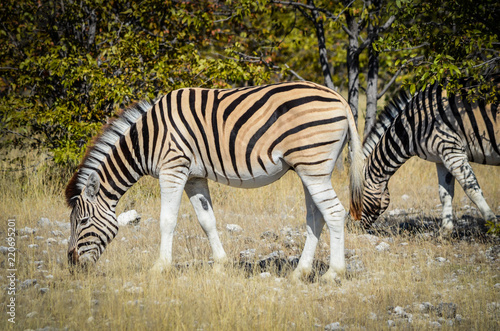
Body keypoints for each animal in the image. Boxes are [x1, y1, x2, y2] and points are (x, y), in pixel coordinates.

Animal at [65, 81, 364, 282]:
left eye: (83, 221)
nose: (72, 264)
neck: (148, 138)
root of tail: (339, 98)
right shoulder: (194, 176)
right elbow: (206, 220)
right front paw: (220, 265)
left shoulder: (173, 168)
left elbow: (167, 220)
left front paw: (160, 267)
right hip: (308, 169)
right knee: (316, 216)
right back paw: (300, 272)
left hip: (313, 166)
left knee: (334, 213)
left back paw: (333, 274)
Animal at [356, 76, 500, 232]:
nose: (354, 228)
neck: (412, 126)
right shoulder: (441, 157)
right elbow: (445, 194)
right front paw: (446, 231)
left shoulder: (452, 150)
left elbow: (472, 190)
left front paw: (493, 226)